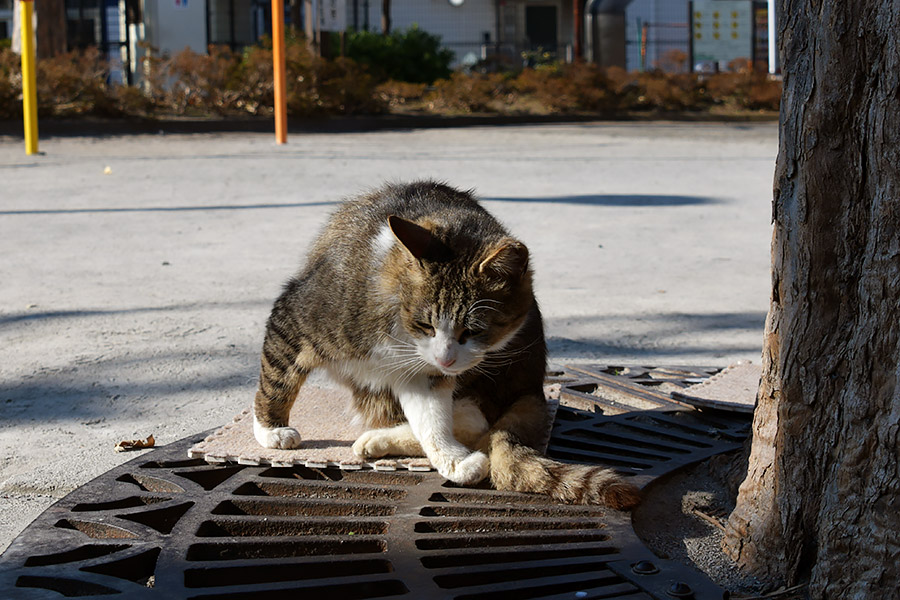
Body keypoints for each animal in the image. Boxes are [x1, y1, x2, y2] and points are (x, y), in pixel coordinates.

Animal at [253, 180, 640, 508]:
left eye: (474, 330)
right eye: (425, 324)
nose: (447, 359)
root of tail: (530, 387)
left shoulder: (426, 372)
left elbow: (433, 419)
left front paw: (452, 460)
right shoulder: (297, 316)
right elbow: (277, 378)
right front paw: (270, 430)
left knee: (473, 421)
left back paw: (378, 440)